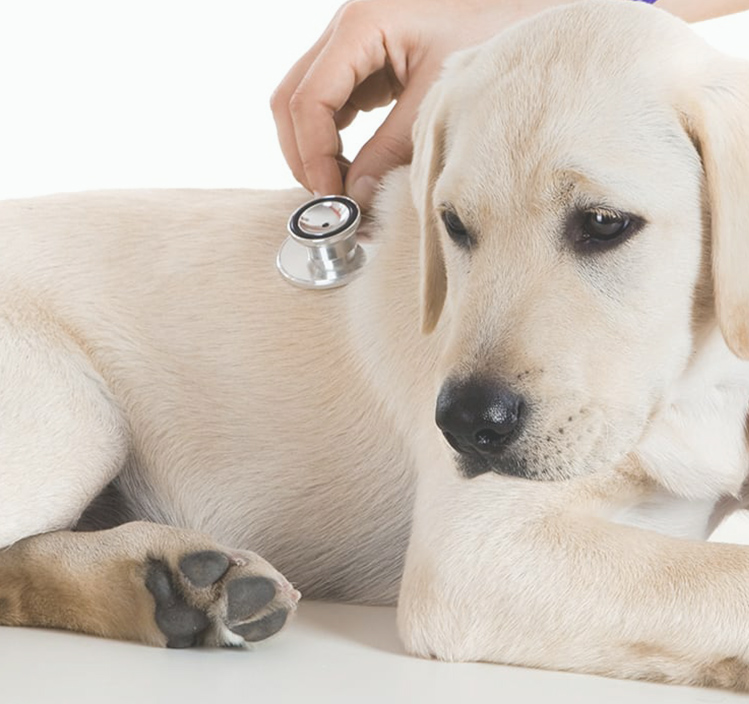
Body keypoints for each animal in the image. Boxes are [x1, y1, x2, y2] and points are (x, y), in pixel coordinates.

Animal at [1, 0, 748, 692]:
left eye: (603, 223)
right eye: (453, 224)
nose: (463, 427)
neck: (697, 381)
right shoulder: (477, 555)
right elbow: (725, 575)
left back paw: (175, 585)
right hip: (74, 421)